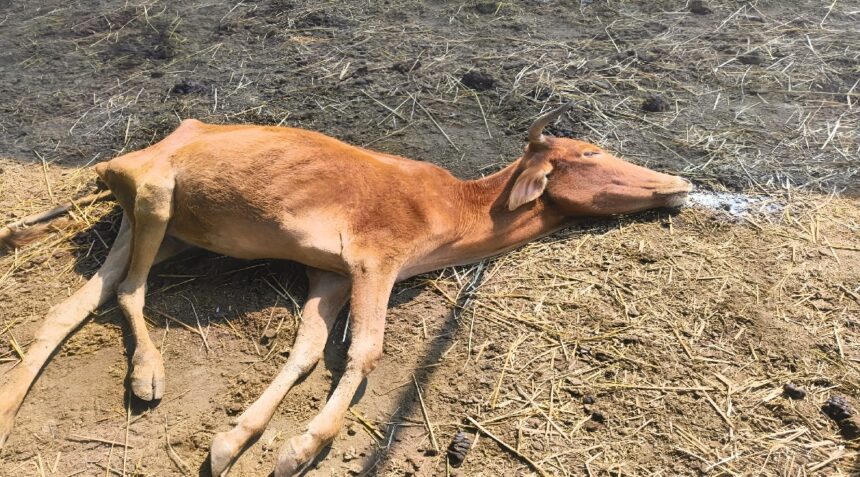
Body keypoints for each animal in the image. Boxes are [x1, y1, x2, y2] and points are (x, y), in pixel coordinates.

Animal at [0, 102, 692, 475]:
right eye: (590, 152)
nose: (680, 182)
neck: (455, 210)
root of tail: (125, 158)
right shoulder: (373, 260)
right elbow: (364, 352)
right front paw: (300, 448)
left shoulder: (329, 276)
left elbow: (306, 353)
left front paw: (233, 441)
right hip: (156, 198)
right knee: (130, 293)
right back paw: (147, 374)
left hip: (161, 229)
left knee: (71, 307)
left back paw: (8, 410)